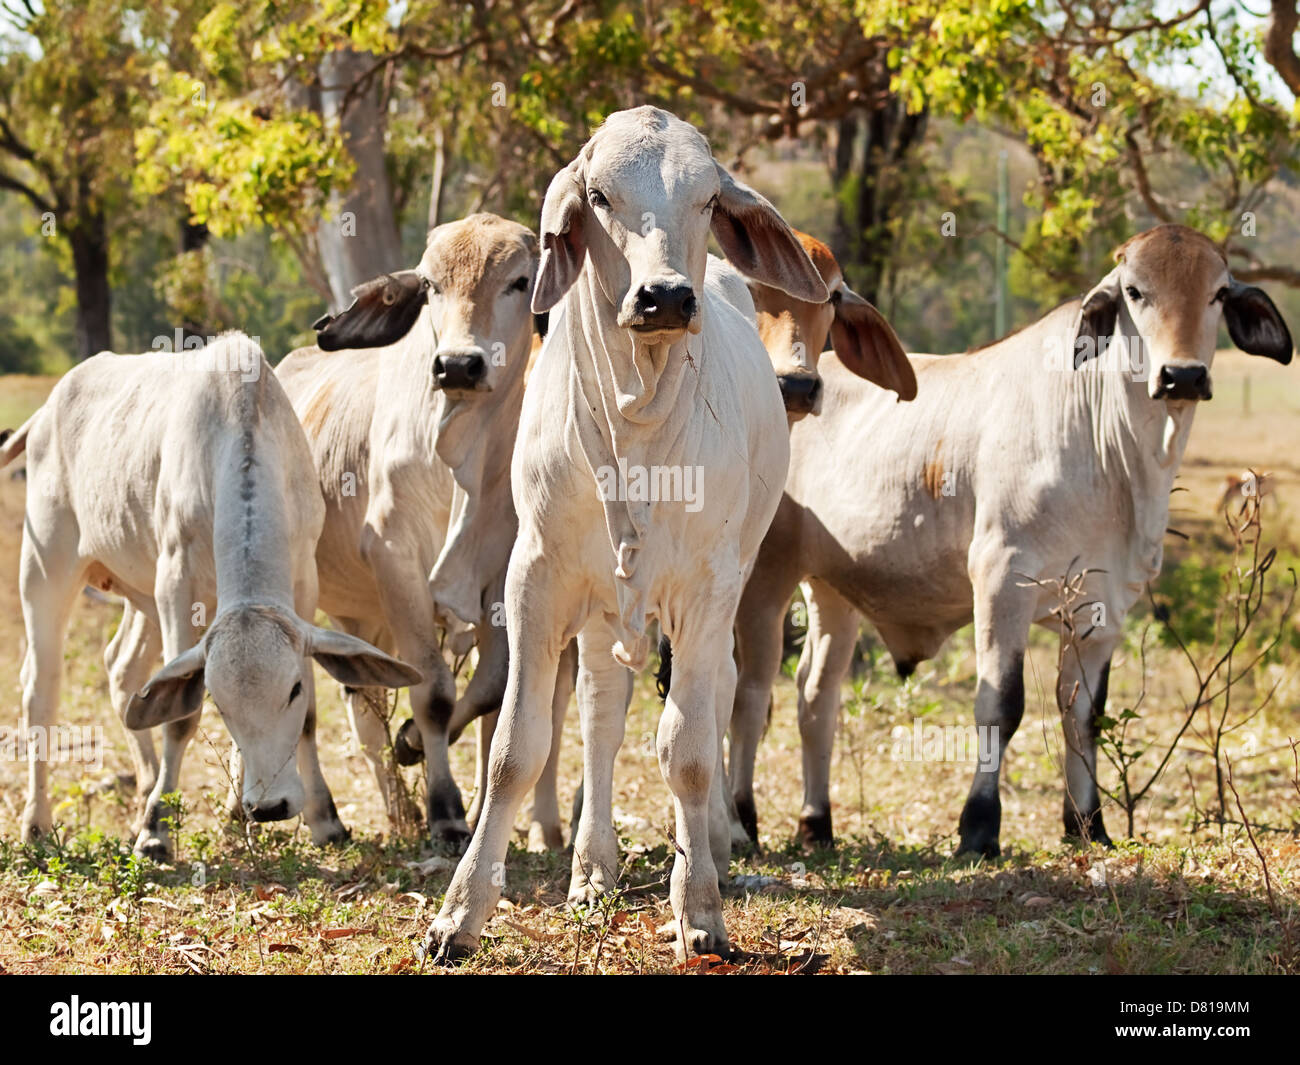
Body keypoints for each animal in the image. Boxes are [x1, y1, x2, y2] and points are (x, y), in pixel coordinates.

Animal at [0, 332, 416, 858]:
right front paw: (156, 830)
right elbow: (181, 716)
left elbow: (308, 719)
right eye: (218, 700)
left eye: (293, 689)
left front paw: (324, 819)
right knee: (41, 689)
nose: (269, 807)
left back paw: (147, 786)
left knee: (123, 670)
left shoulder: (303, 585)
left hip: (139, 593)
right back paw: (38, 822)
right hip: (46, 567)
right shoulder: (176, 585)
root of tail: (48, 407)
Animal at [276, 211, 540, 842]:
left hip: (363, 616)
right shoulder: (397, 561)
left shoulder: (500, 573)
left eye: (520, 281)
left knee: (364, 705)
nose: (459, 365)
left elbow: (489, 686)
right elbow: (434, 691)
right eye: (429, 285)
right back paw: (323, 815)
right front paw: (445, 810)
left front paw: (414, 746)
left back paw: (398, 807)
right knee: (310, 709)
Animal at [426, 108, 826, 967]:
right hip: (603, 604)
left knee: (707, 707)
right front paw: (458, 915)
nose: (666, 295)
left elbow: (688, 751)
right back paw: (591, 872)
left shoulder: (708, 592)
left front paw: (699, 907)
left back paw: (711, 846)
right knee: (600, 717)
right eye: (601, 196)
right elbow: (516, 750)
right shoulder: (535, 579)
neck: (637, 421)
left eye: (708, 199)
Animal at [733, 227, 1289, 858]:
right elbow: (1001, 705)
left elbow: (1084, 716)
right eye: (1134, 291)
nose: (1184, 376)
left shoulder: (1104, 610)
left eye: (1218, 293)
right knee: (751, 696)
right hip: (765, 580)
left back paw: (816, 822)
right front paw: (978, 828)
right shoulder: (1003, 583)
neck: (1113, 453)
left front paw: (1087, 825)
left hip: (833, 593)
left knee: (815, 697)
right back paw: (742, 821)